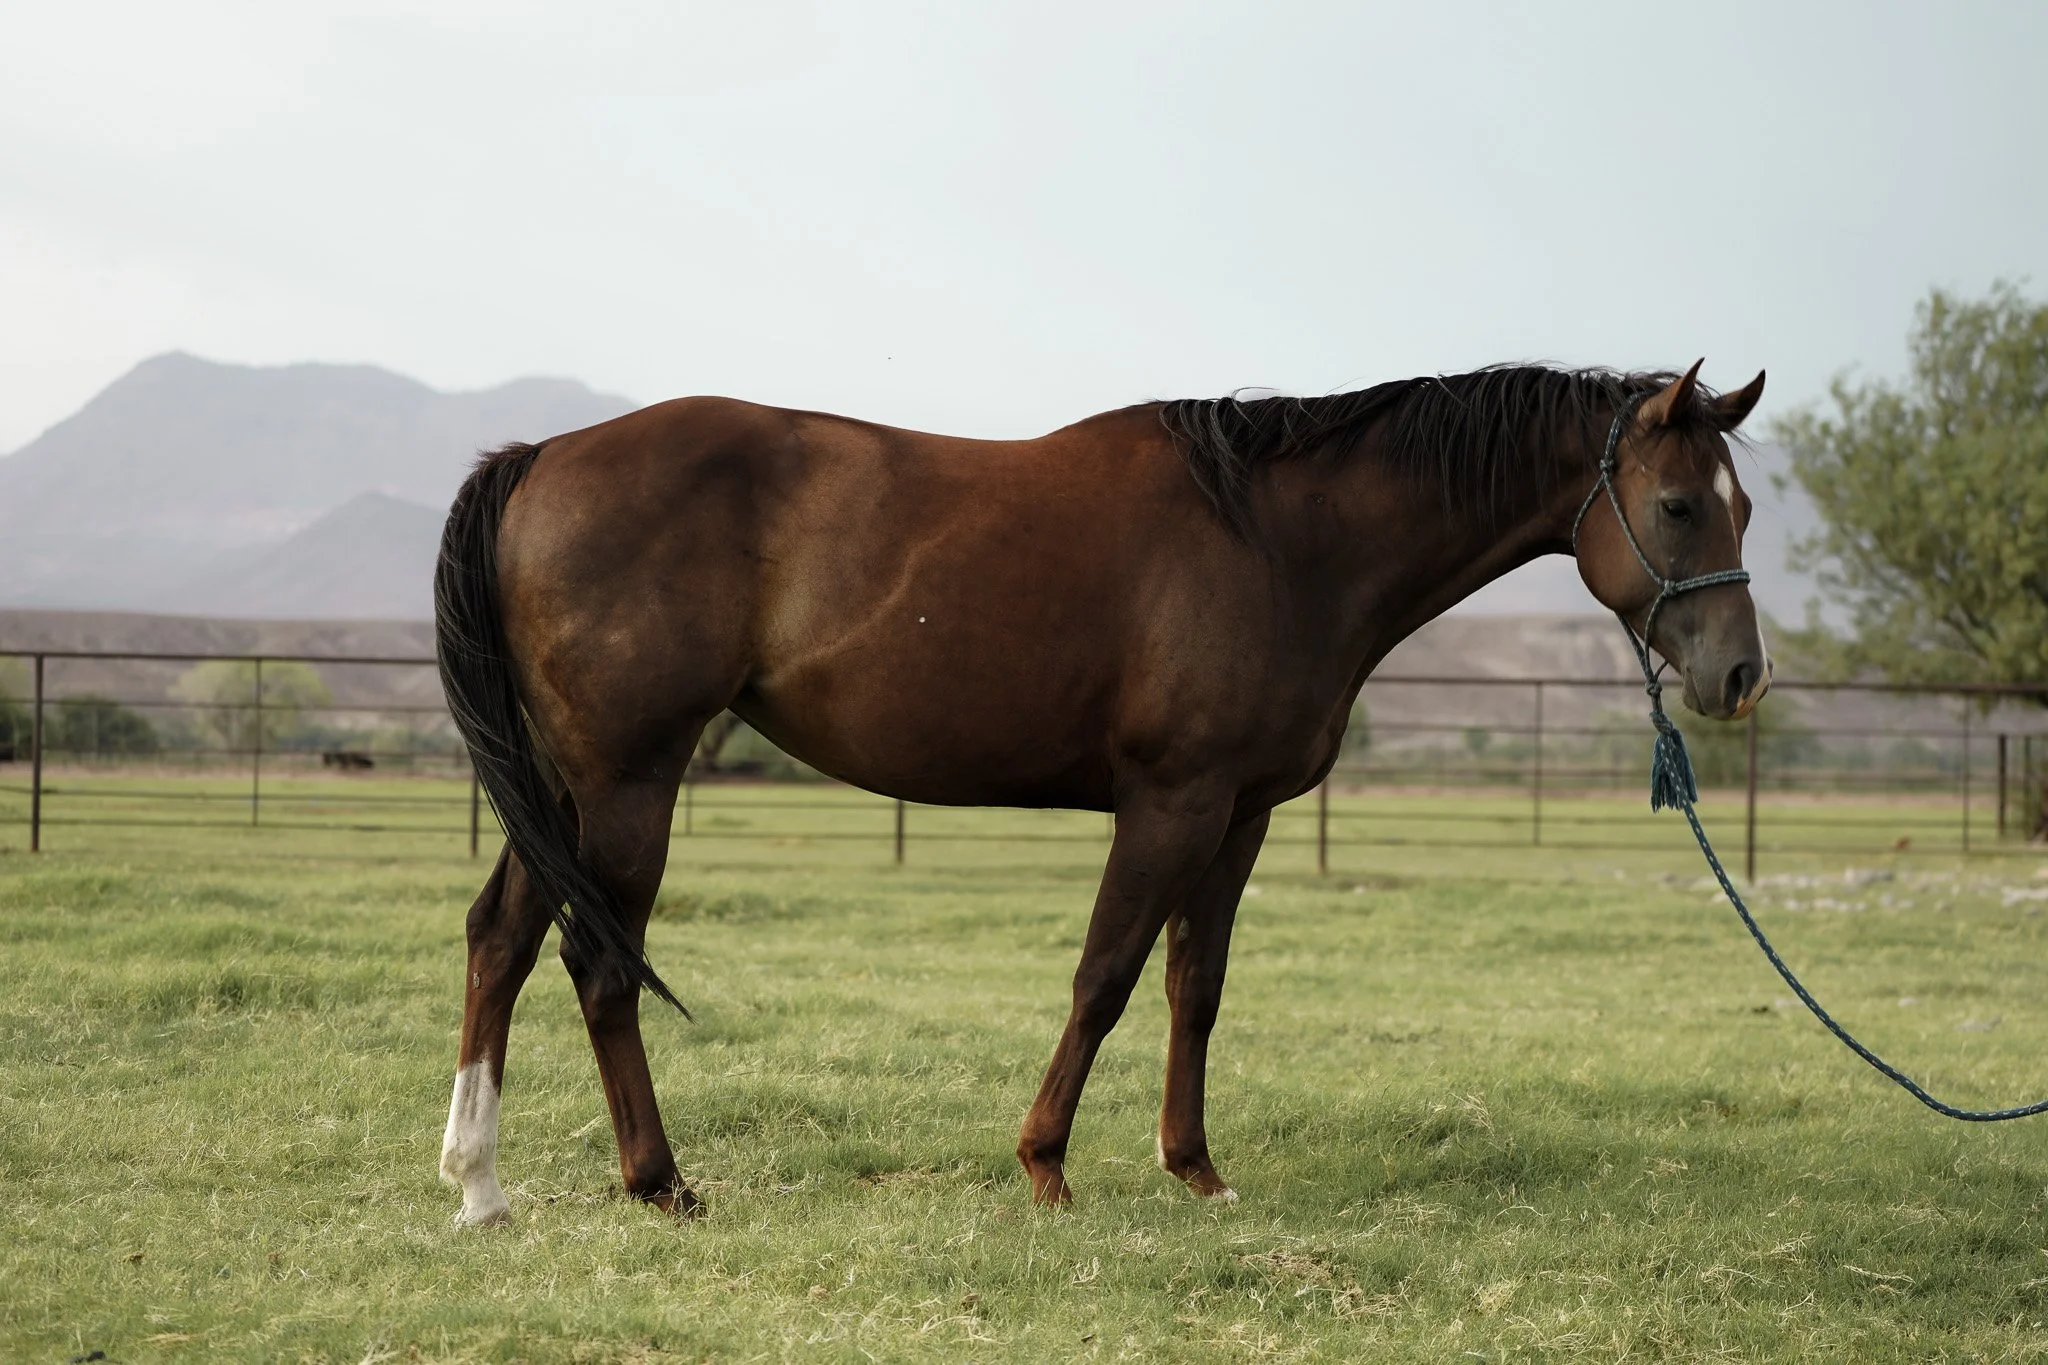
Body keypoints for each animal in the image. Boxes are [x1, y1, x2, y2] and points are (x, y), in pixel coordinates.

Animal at [432, 359, 1769, 1224]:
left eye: (1742, 503)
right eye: (1674, 503)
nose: (1737, 674)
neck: (1282, 541)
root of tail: (541, 459)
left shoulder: (1239, 815)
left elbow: (1194, 988)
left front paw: (1196, 1170)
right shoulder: (1170, 804)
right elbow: (1106, 977)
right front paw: (1045, 1166)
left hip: (565, 788)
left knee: (499, 938)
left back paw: (480, 1185)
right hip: (628, 782)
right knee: (595, 964)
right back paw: (658, 1182)